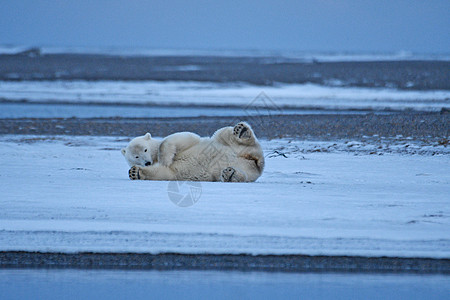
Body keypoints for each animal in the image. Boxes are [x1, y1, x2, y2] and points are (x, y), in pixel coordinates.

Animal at [121, 122, 266, 183]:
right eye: (136, 156)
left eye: (145, 149)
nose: (147, 162)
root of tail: (255, 162)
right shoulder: (172, 171)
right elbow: (164, 173)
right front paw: (135, 172)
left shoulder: (189, 143)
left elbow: (178, 139)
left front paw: (165, 159)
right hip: (247, 168)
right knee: (245, 174)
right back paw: (230, 174)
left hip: (228, 144)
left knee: (226, 134)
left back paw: (242, 131)